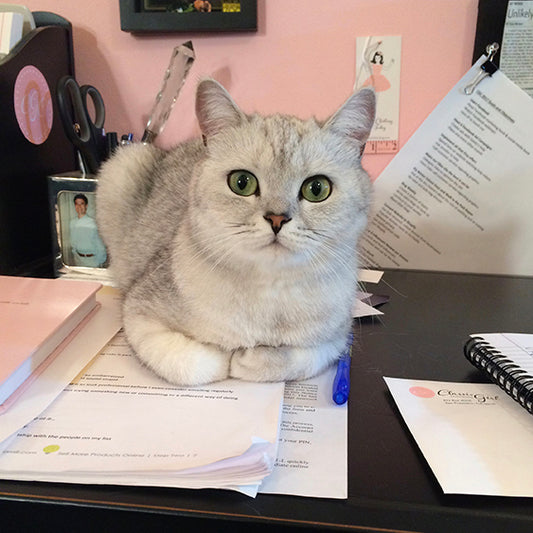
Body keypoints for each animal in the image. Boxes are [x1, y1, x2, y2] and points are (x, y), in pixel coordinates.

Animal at [96, 79, 374, 384]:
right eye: (242, 183)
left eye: (317, 189)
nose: (277, 219)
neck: (269, 293)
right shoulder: (138, 312)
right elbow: (196, 365)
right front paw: (227, 356)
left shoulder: (337, 340)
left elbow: (292, 359)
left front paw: (249, 358)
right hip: (123, 163)